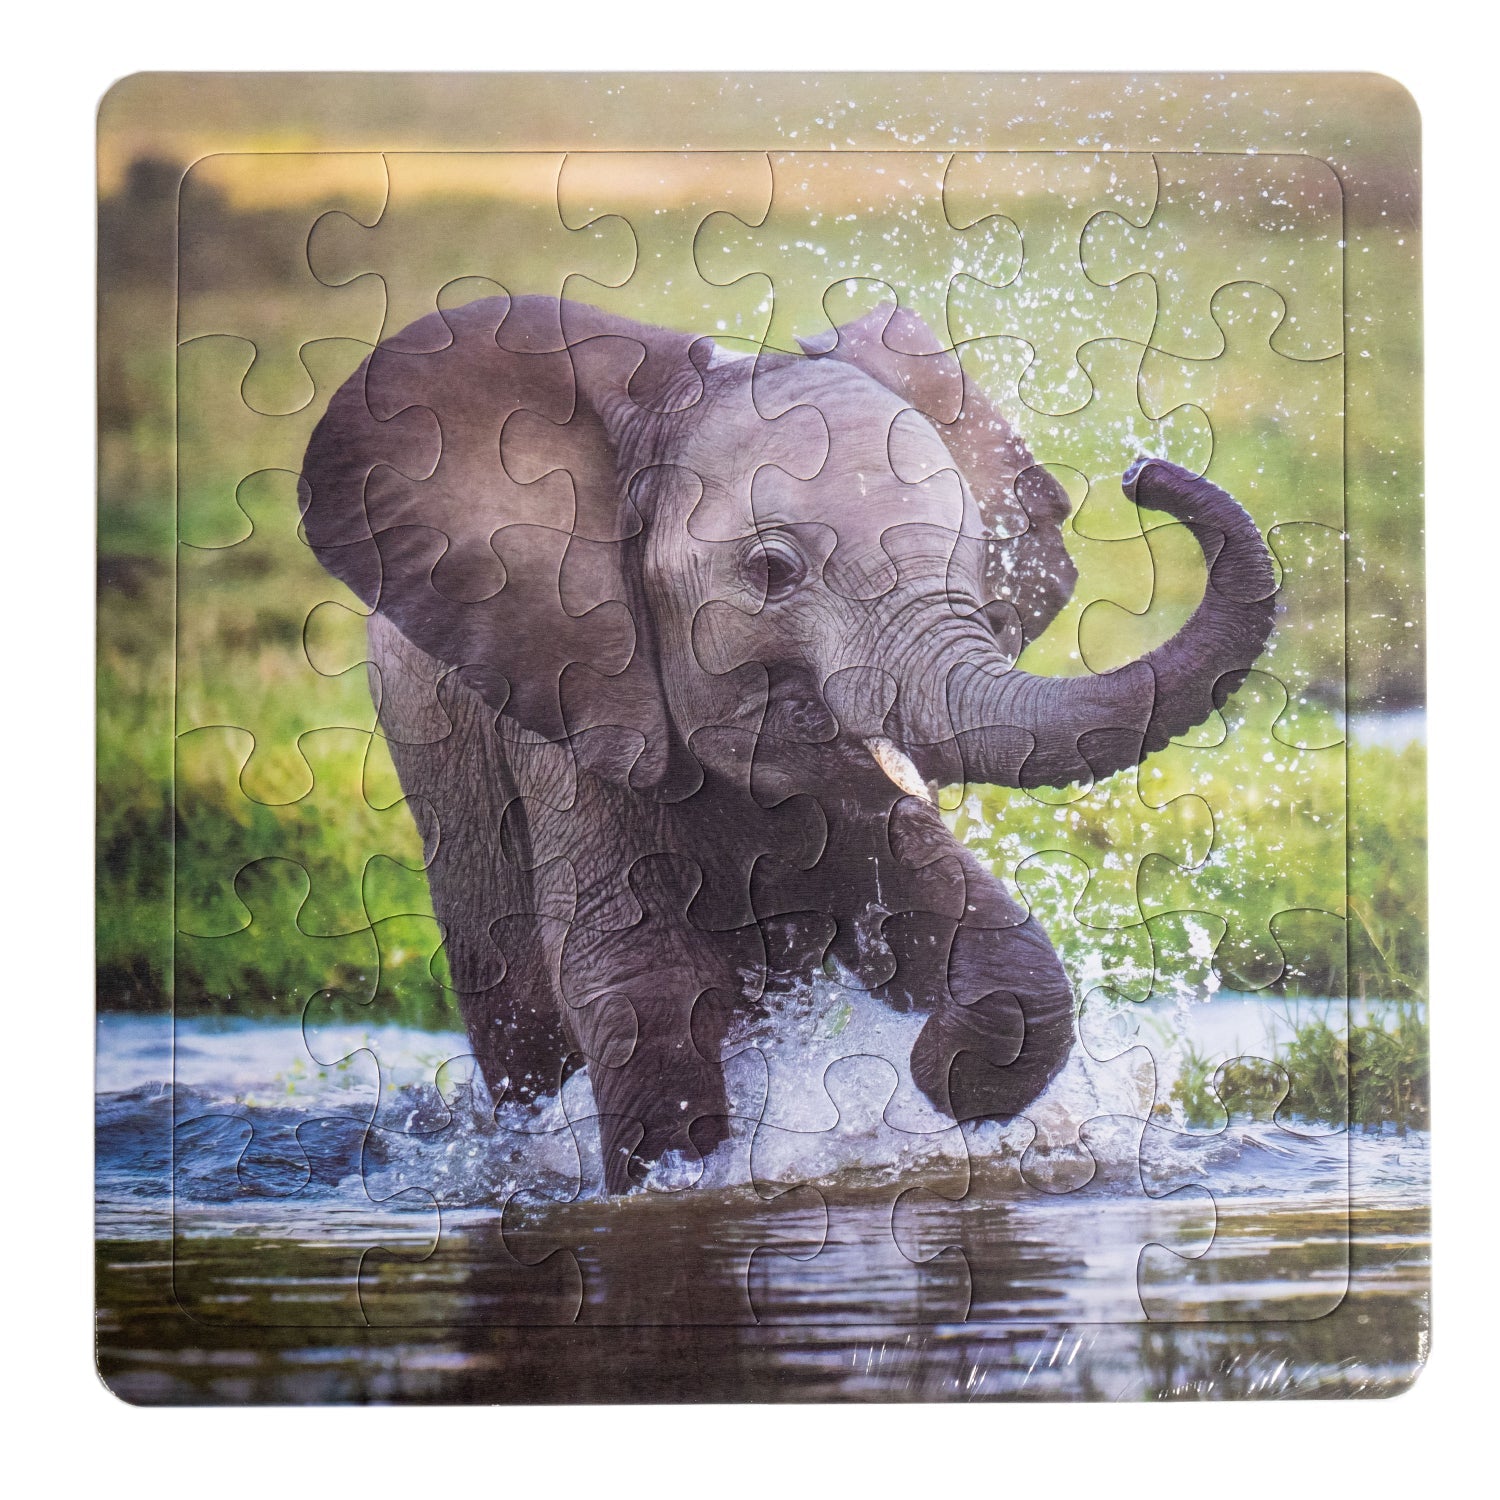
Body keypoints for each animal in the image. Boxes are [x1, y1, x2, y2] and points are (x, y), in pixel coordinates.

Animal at [299, 294, 1276, 1193]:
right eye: (772, 570)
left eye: (975, 554)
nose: (1142, 472)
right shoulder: (574, 694)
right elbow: (641, 985)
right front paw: (679, 1181)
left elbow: (953, 921)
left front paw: (941, 1077)